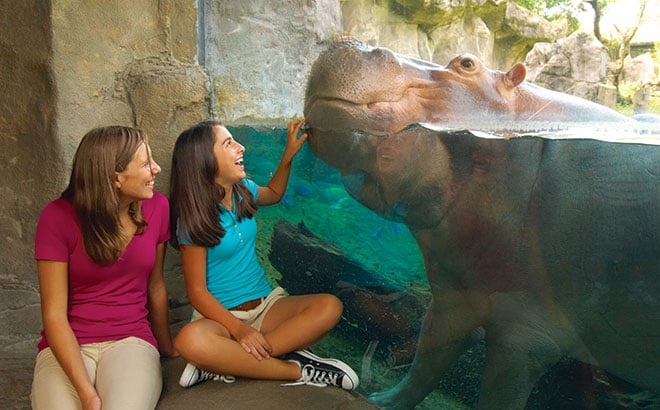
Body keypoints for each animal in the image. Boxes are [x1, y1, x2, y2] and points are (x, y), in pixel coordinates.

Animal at [303, 40, 660, 409]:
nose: (354, 44)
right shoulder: (454, 300)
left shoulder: (524, 335)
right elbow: (425, 362)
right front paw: (382, 399)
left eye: (467, 64)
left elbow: (494, 395)